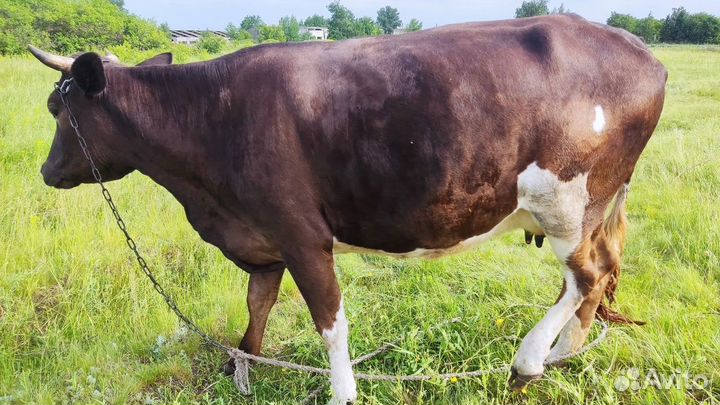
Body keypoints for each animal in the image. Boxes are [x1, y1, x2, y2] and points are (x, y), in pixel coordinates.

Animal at [29, 14, 666, 404]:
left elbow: (330, 321)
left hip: (569, 202)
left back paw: (530, 361)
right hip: (591, 210)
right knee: (595, 276)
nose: (45, 172)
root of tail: (639, 50)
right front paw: (244, 366)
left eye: (57, 109)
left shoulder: (302, 234)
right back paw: (566, 354)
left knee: (585, 275)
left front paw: (342, 391)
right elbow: (258, 306)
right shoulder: (263, 238)